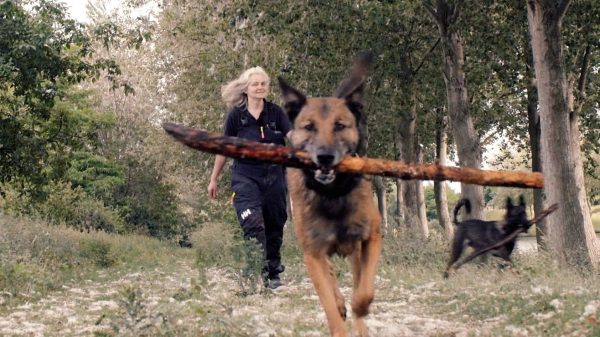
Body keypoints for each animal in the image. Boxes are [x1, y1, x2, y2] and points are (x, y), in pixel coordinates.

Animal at [276, 50, 380, 336]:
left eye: (340, 126)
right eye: (309, 126)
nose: (324, 157)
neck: (333, 194)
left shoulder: (371, 237)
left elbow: (364, 290)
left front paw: (360, 309)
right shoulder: (312, 254)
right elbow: (330, 308)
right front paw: (340, 312)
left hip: (354, 248)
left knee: (355, 280)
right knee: (332, 277)